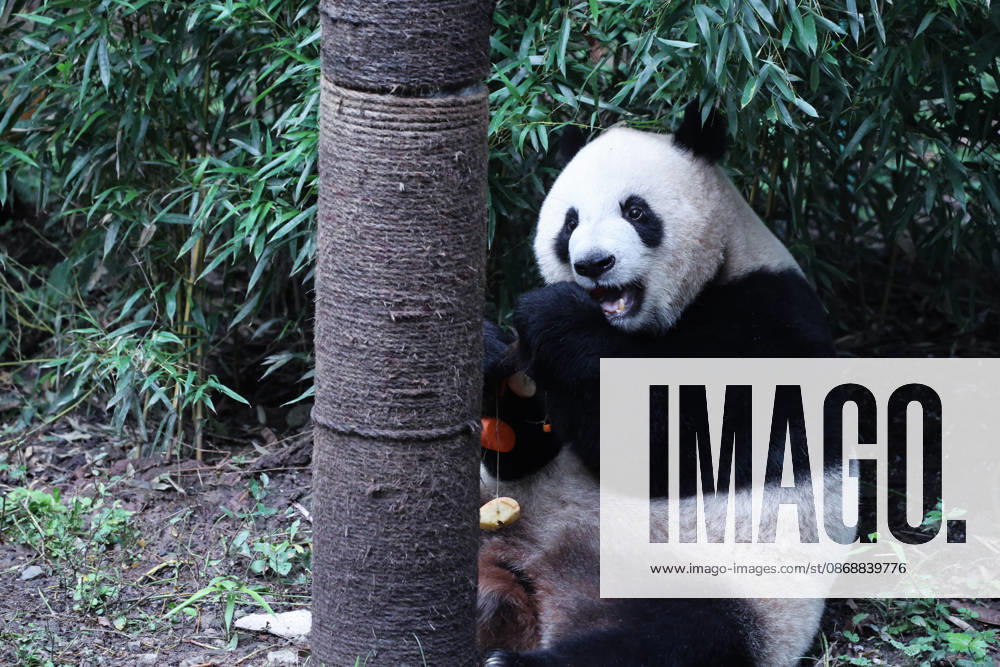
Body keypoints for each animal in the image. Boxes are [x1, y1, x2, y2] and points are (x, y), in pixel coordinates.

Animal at [478, 103, 842, 666]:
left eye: (636, 211)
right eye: (570, 222)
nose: (593, 264)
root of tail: (538, 588)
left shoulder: (770, 317)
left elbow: (683, 441)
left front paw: (556, 317)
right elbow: (521, 453)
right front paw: (498, 366)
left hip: (710, 583)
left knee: (675, 639)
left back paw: (513, 662)